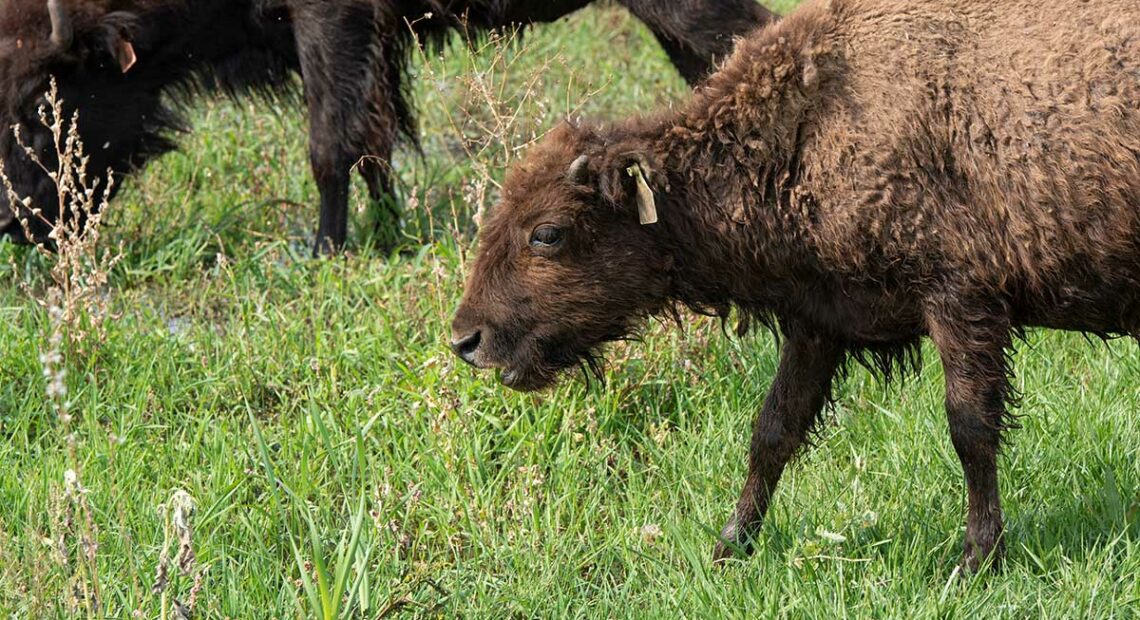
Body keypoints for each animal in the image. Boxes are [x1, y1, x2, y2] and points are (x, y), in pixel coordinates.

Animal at [0, 0, 775, 253]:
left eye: (39, 106)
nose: (15, 225)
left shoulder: (330, 26)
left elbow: (330, 143)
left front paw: (321, 250)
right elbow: (375, 143)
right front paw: (388, 231)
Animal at [451, 0, 1140, 572]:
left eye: (548, 233)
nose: (466, 340)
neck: (810, 123)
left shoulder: (961, 305)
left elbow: (969, 431)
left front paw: (976, 560)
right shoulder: (818, 323)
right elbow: (773, 432)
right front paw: (729, 548)